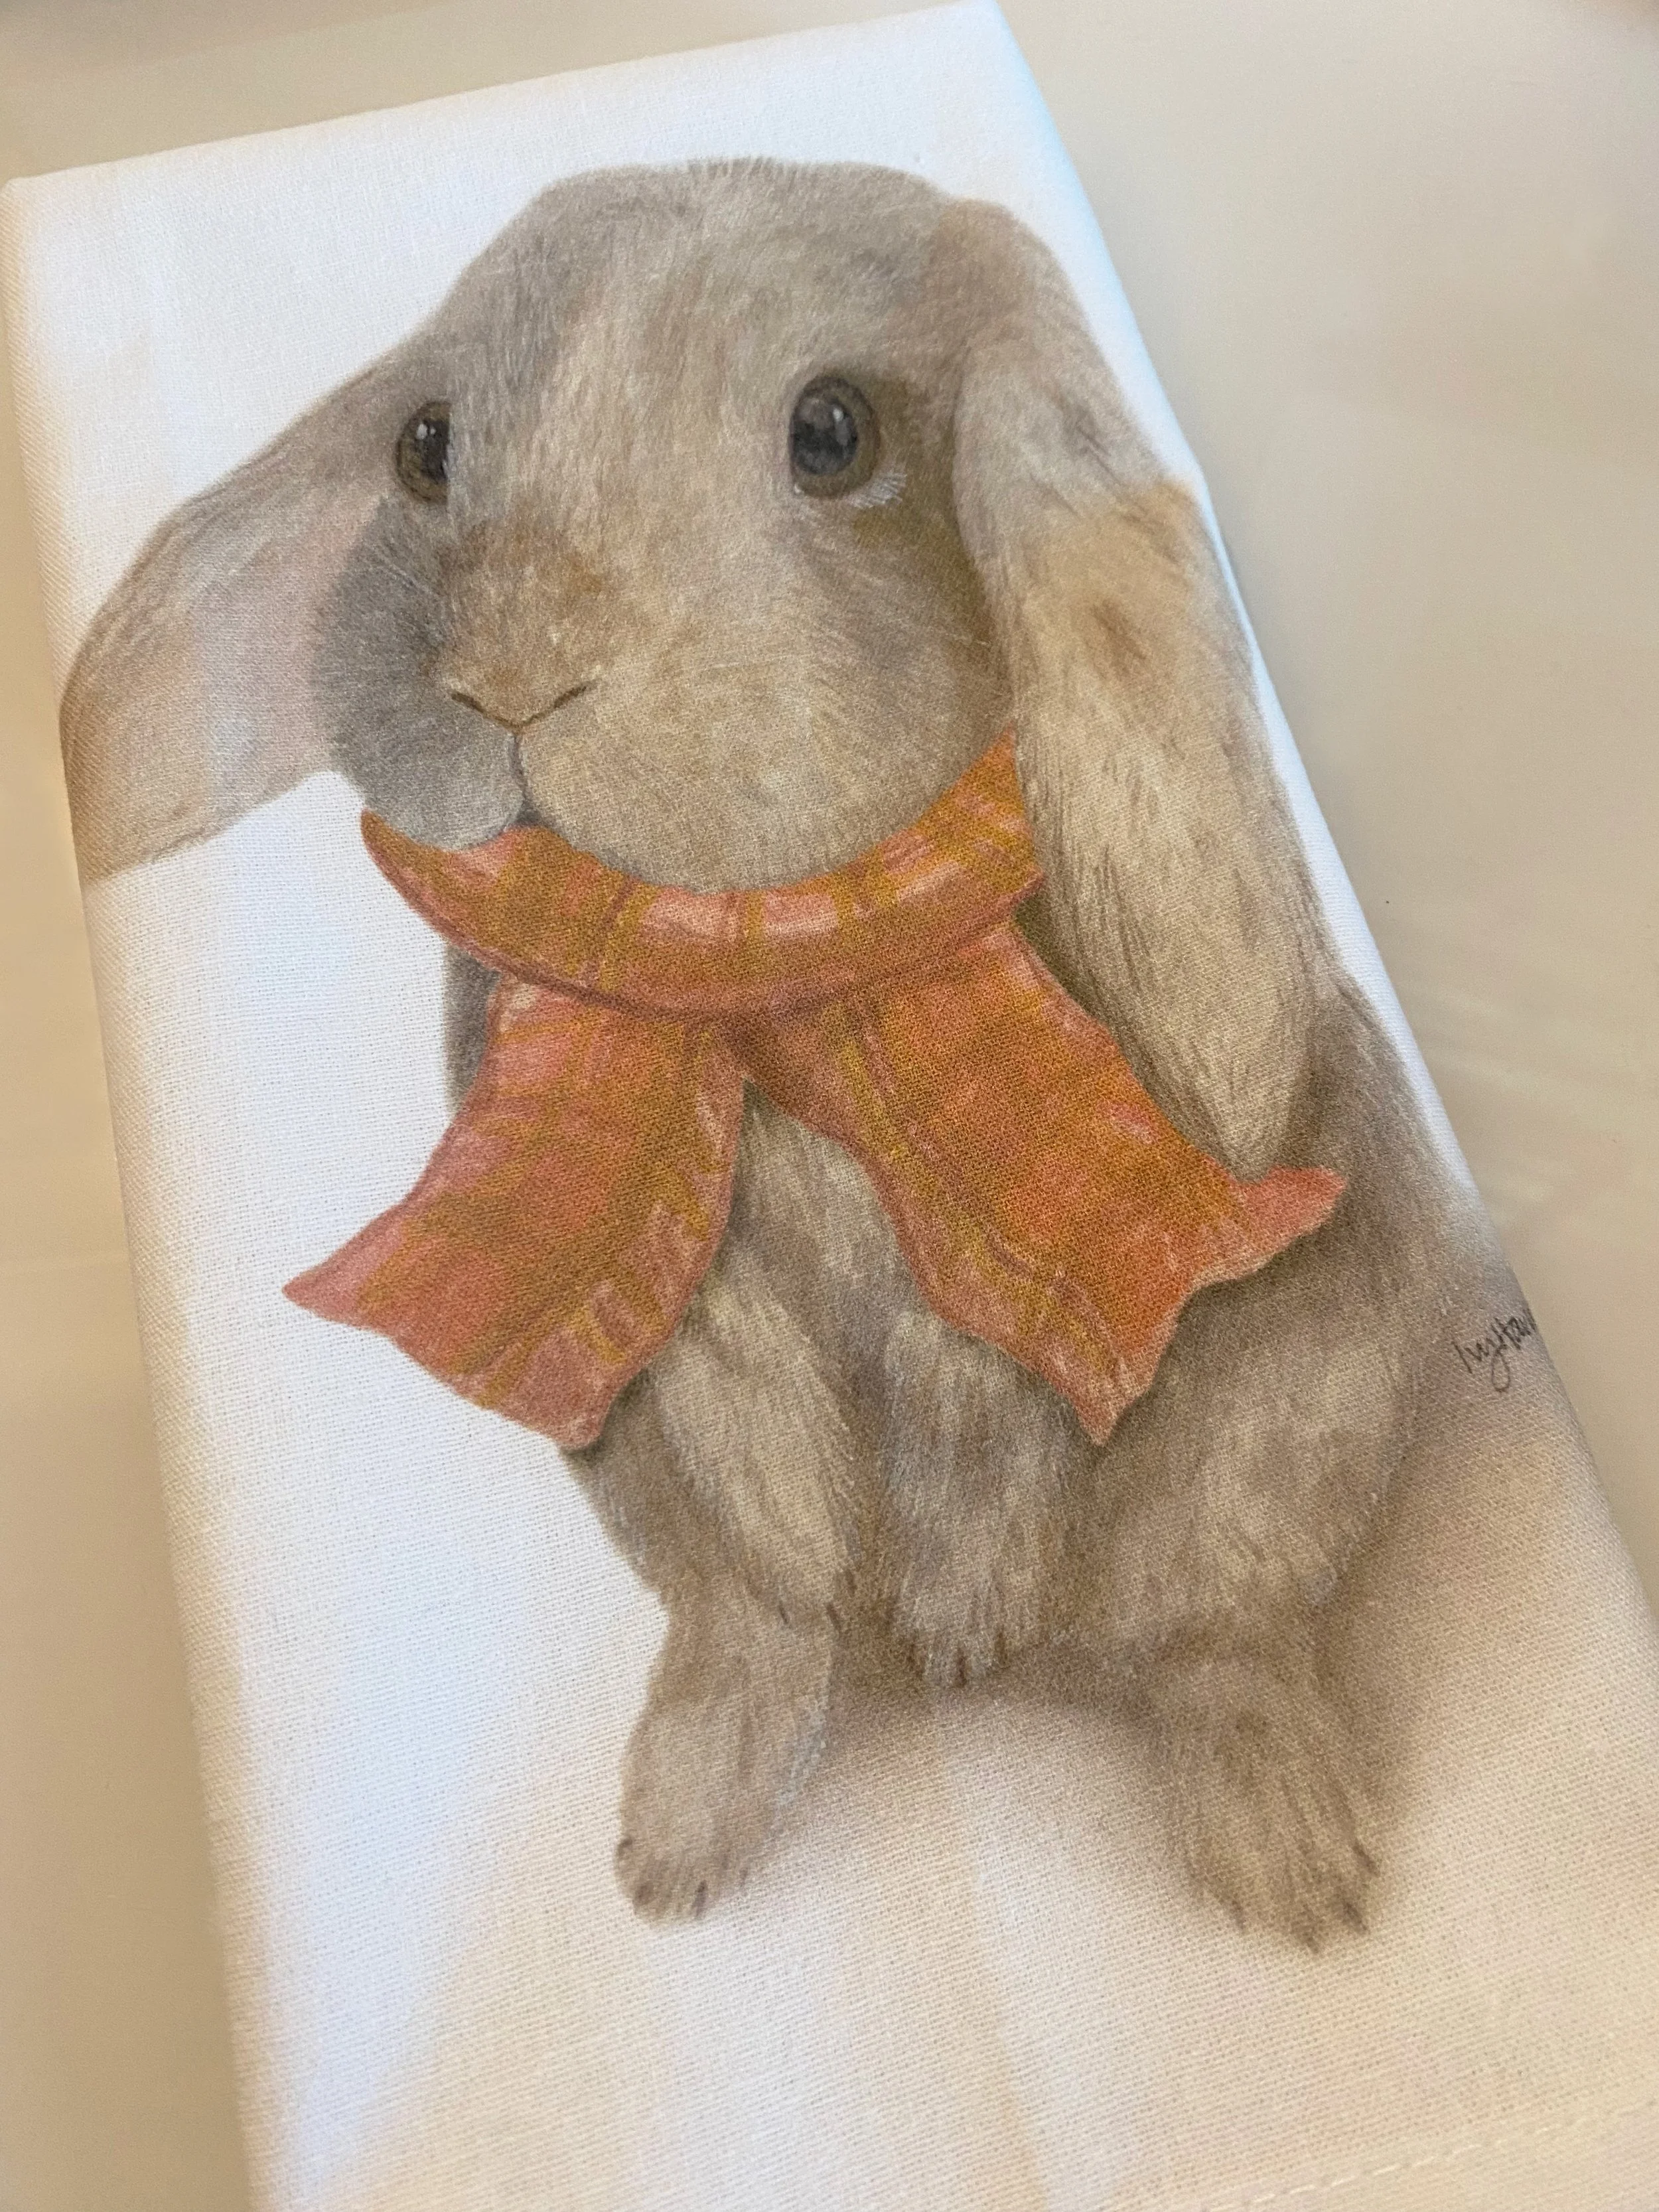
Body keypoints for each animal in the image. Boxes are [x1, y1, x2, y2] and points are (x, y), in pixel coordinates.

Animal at [60, 157, 1457, 1945]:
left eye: (835, 433)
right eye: (426, 446)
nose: (512, 675)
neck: (764, 963)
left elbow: (976, 1350)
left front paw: (964, 1594)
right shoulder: (687, 1317)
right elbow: (744, 1395)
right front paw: (884, 1593)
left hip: (1316, 1378)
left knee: (1217, 1638)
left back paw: (1286, 1861)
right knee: (757, 1626)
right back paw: (688, 1835)